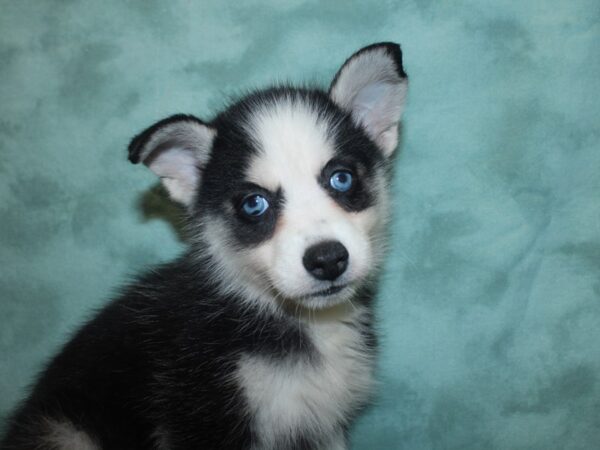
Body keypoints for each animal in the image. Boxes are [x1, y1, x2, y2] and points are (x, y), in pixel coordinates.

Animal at [1, 43, 408, 450]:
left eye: (342, 179)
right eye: (253, 204)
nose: (327, 260)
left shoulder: (323, 426)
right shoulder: (205, 419)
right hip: (65, 432)